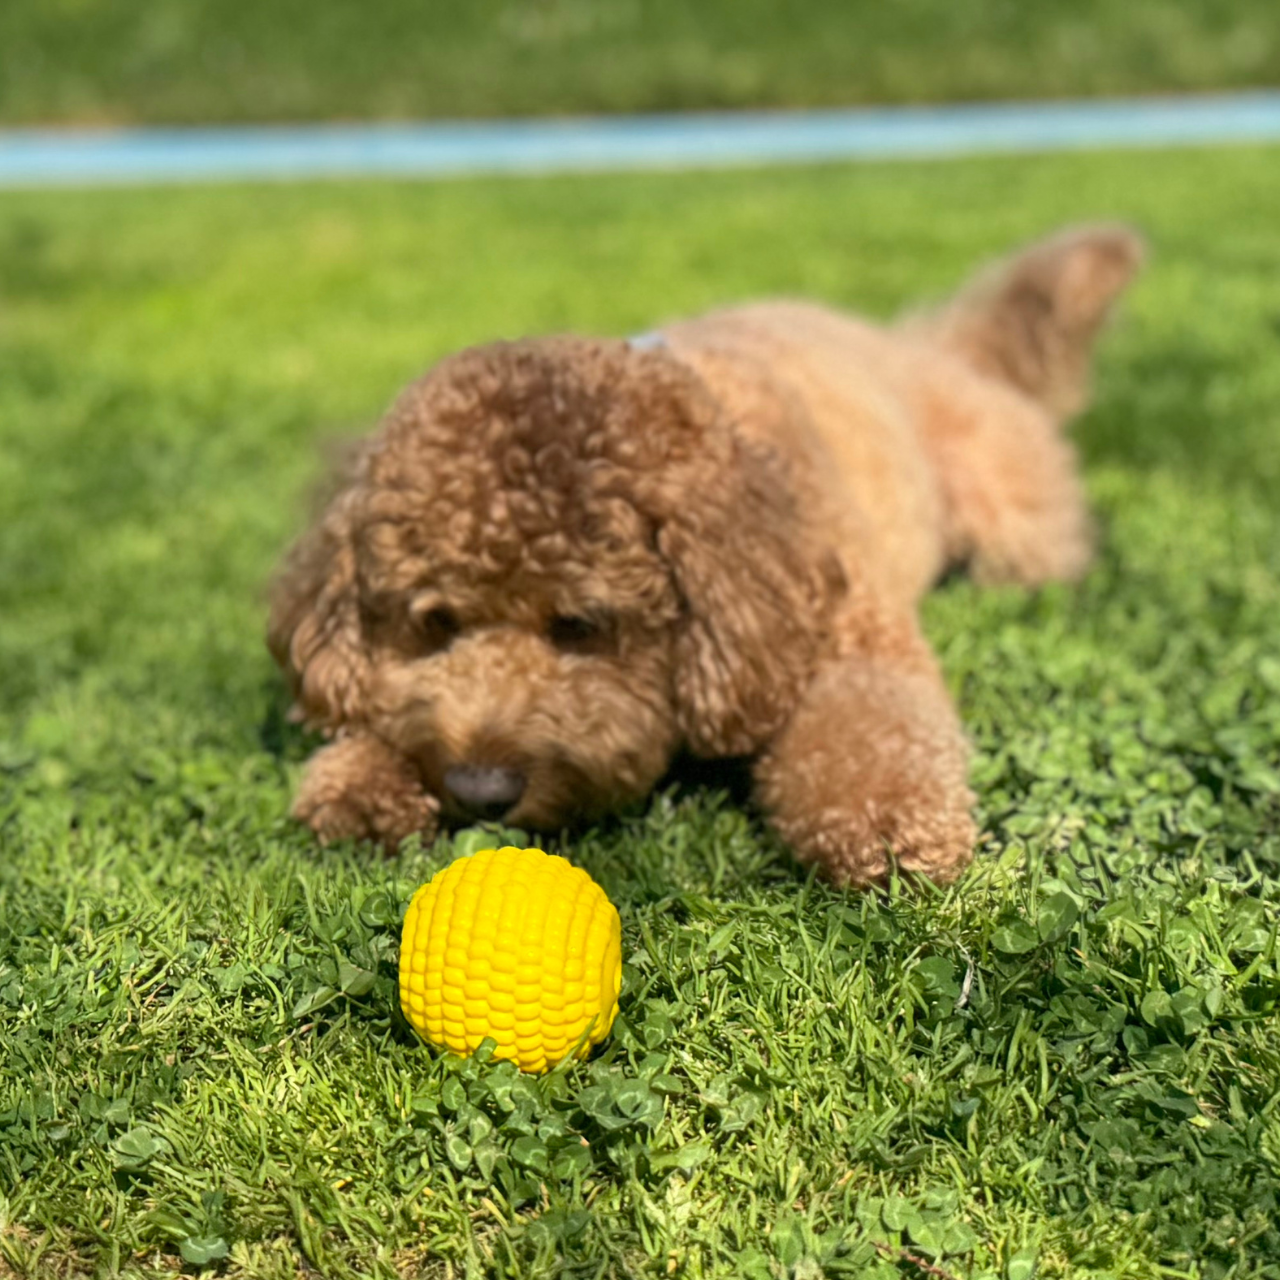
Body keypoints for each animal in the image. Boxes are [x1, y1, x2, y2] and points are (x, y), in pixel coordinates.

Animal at [267, 225, 1141, 885]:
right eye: (435, 622)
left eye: (581, 624)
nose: (479, 789)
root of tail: (924, 347)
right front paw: (361, 781)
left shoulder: (837, 633)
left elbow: (872, 729)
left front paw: (891, 824)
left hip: (1014, 520)